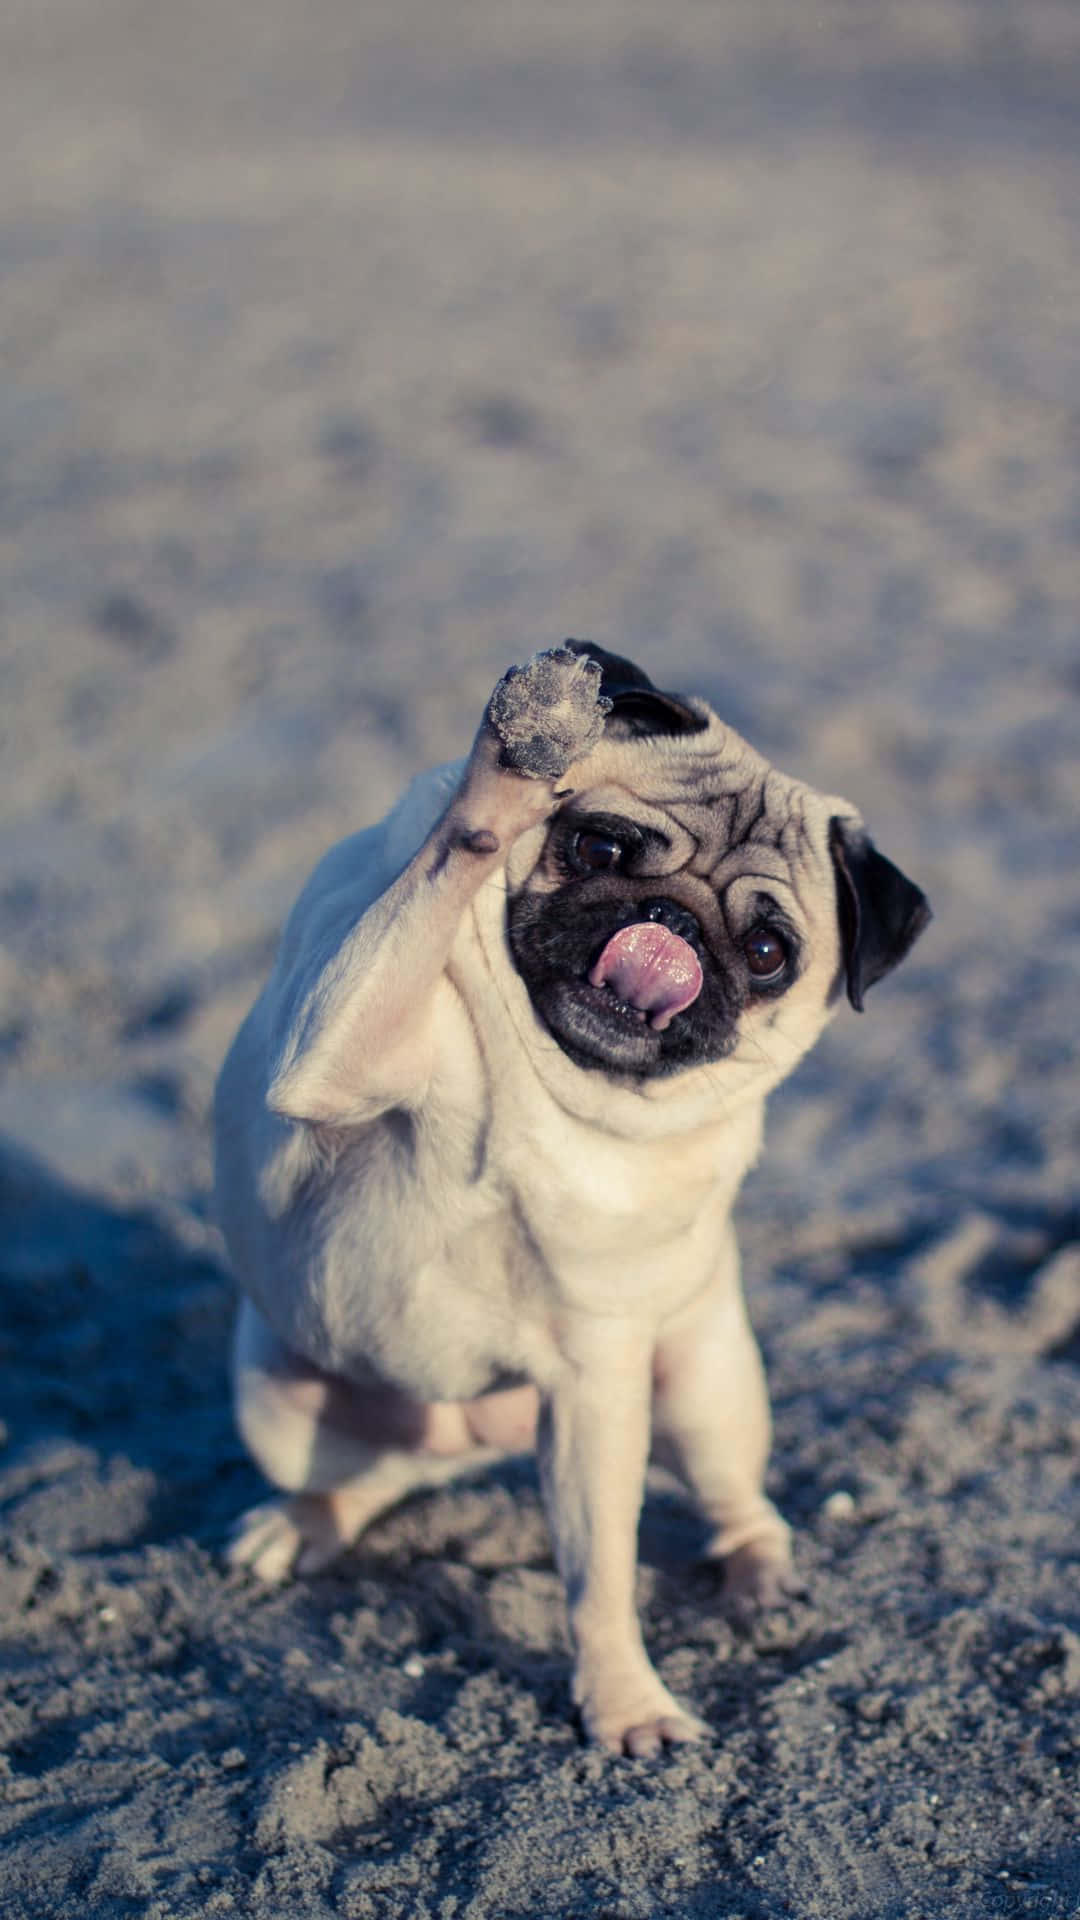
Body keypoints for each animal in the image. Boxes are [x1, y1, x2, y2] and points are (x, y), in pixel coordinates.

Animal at [212, 645, 926, 1758]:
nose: (671, 925)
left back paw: (761, 1576)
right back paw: (301, 1525)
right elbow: (441, 870)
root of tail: (476, 1431)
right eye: (598, 844)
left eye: (769, 953)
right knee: (357, 1479)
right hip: (276, 1399)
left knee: (739, 1496)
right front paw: (515, 759)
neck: (544, 1076)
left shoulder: (596, 1384)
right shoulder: (335, 1048)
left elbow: (599, 1582)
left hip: (706, 1392)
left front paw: (625, 1704)